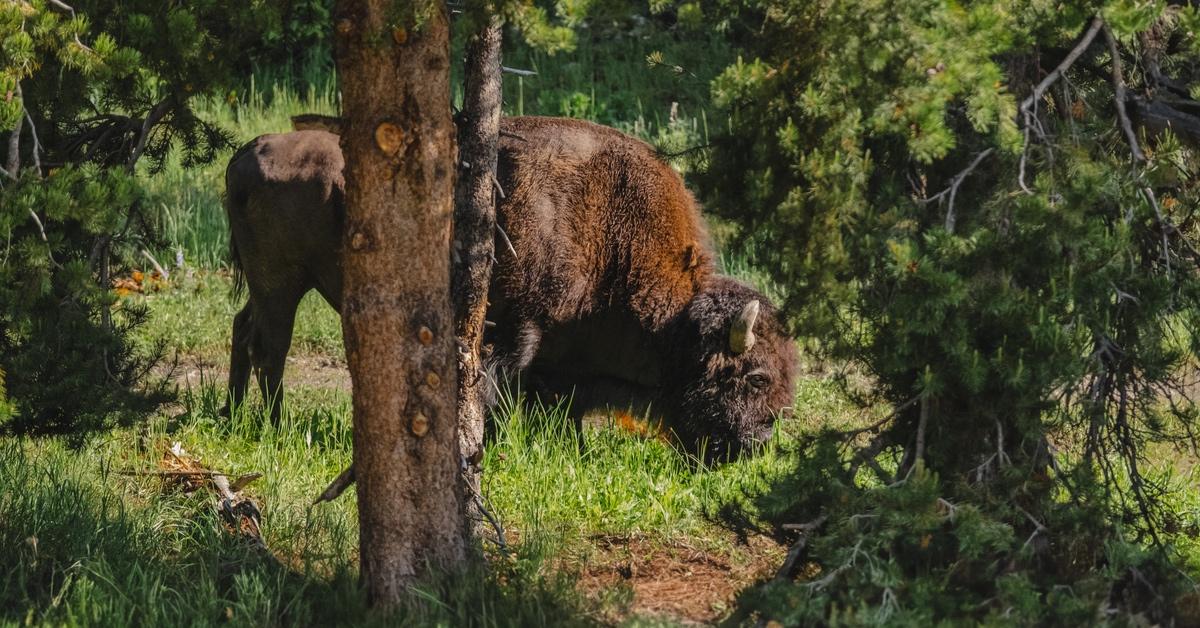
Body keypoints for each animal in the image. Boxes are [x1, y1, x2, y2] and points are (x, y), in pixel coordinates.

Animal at [224, 115, 796, 458]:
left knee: (242, 329)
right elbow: (492, 390)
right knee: (270, 347)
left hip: (268, 286)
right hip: (282, 284)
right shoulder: (515, 334)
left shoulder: (560, 364)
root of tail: (249, 150)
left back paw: (230, 411)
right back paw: (273, 425)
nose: (757, 443)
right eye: (756, 377)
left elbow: (558, 409)